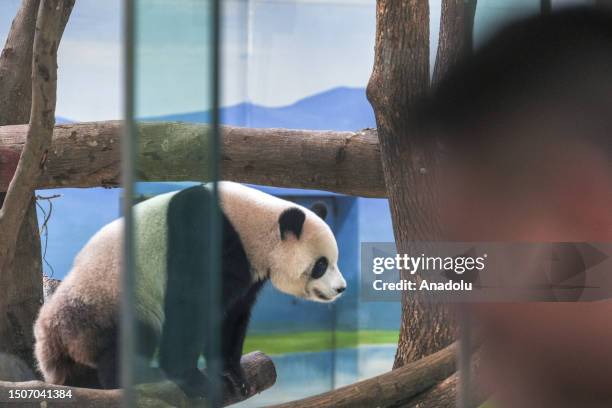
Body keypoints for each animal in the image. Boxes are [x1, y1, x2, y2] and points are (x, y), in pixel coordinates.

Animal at [33, 182, 346, 398]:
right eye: (321, 264)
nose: (341, 288)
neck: (255, 226)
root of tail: (52, 335)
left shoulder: (247, 268)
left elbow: (232, 315)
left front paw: (233, 374)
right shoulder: (210, 240)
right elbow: (190, 308)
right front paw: (193, 381)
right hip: (107, 301)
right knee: (125, 342)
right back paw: (135, 376)